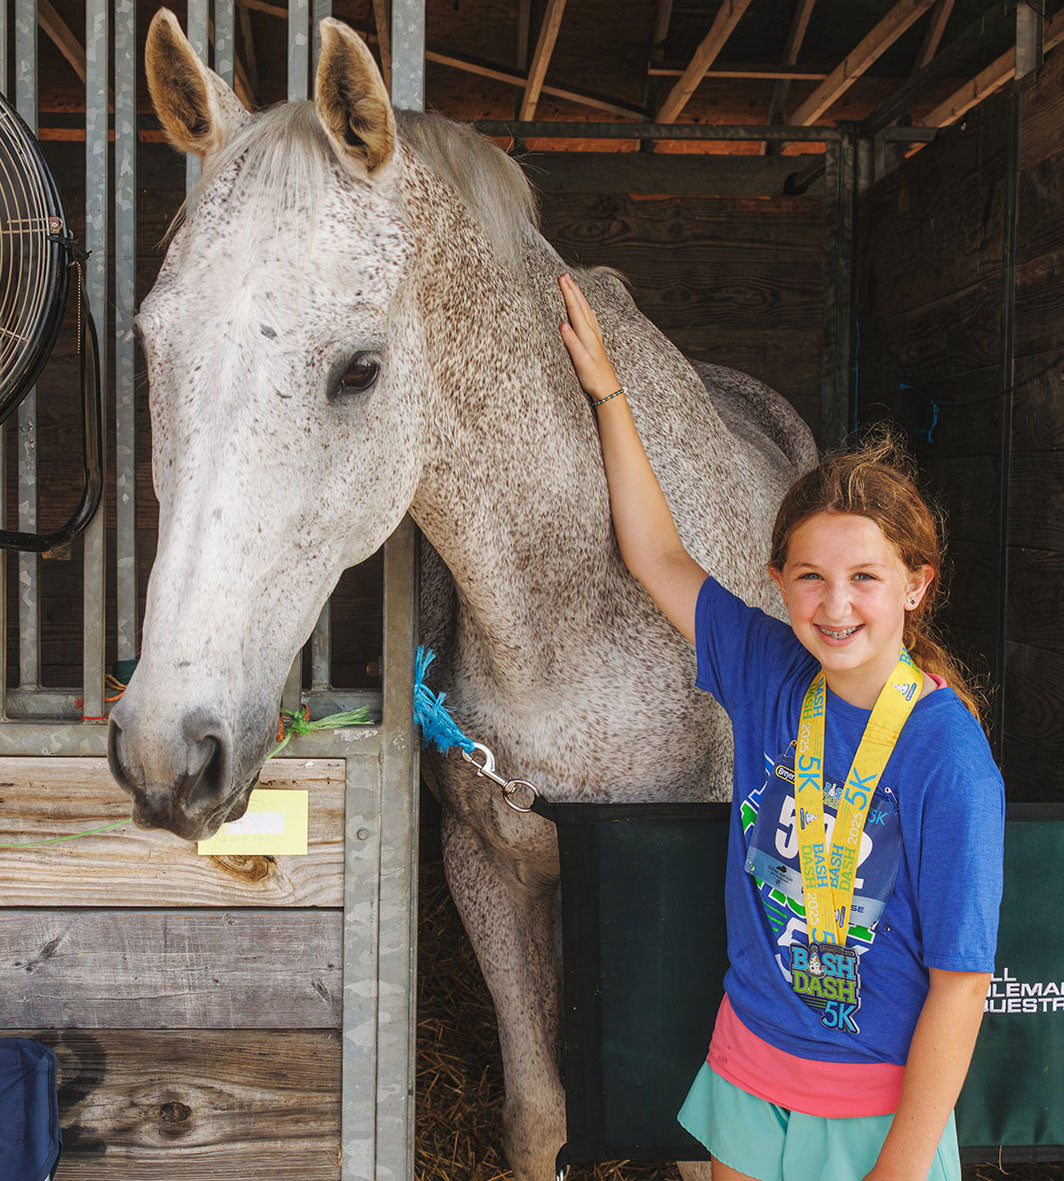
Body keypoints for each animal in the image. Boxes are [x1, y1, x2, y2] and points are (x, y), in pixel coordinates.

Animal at [111, 11, 817, 1179]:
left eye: (358, 369)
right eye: (149, 342)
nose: (168, 750)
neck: (571, 618)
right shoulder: (486, 869)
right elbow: (538, 1115)